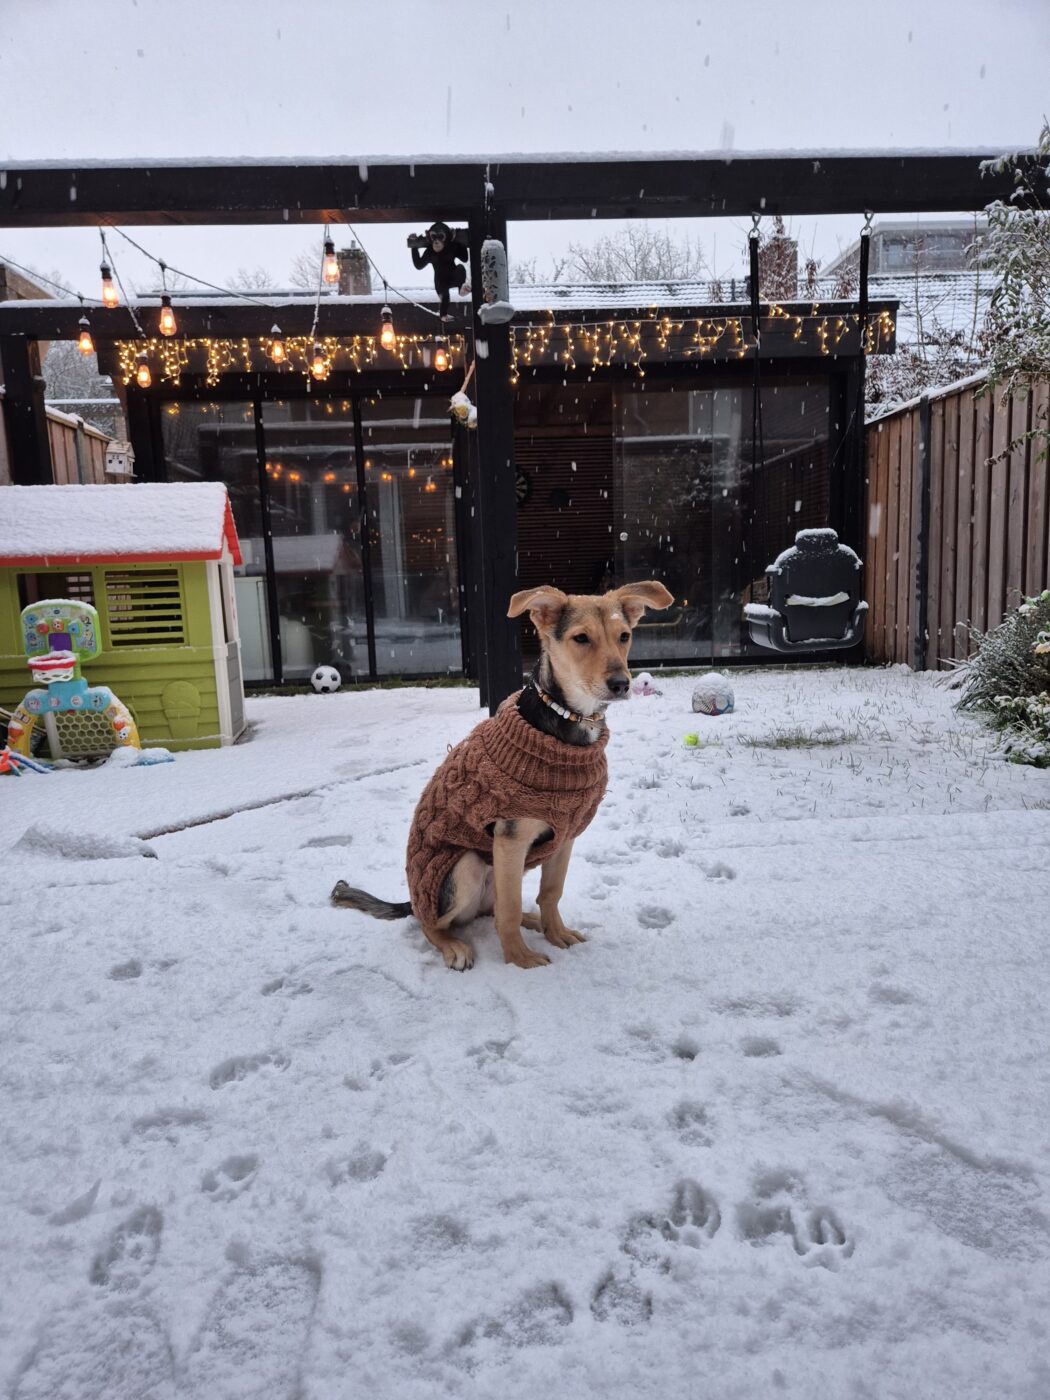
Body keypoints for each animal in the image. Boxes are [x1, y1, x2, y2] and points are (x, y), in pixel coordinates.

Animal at [331, 580, 673, 970]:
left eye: (624, 636)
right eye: (581, 638)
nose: (621, 684)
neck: (567, 720)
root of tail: (412, 898)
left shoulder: (566, 835)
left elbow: (550, 892)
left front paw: (556, 933)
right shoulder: (511, 839)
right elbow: (507, 911)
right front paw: (518, 959)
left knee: (491, 910)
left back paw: (533, 920)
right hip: (465, 866)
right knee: (432, 921)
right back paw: (454, 945)